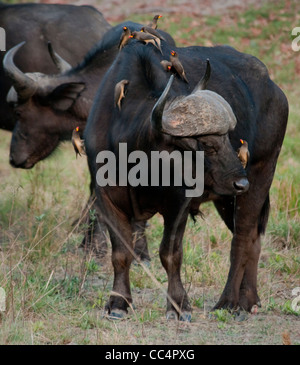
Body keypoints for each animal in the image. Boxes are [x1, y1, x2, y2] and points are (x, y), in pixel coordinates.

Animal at [84, 38, 288, 320]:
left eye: (228, 139)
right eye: (206, 144)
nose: (241, 183)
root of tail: (275, 90)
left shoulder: (178, 203)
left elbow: (170, 254)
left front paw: (179, 305)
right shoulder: (105, 198)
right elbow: (121, 253)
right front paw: (118, 303)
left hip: (262, 172)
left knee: (242, 238)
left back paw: (228, 302)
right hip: (227, 198)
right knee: (254, 240)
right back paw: (249, 300)